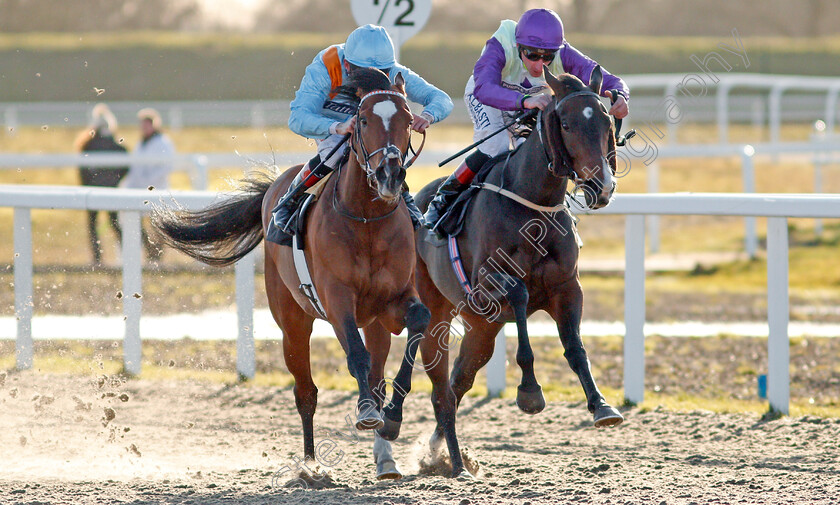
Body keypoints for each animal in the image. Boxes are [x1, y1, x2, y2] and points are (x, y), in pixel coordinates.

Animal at [149, 69, 434, 478]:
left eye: (408, 120)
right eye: (363, 120)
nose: (389, 175)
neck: (367, 220)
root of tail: (273, 187)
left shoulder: (392, 301)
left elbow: (419, 321)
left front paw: (392, 418)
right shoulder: (337, 301)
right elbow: (356, 354)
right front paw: (366, 412)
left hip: (373, 322)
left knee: (376, 374)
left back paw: (385, 459)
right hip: (292, 320)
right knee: (306, 391)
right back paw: (311, 466)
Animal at [378, 66, 624, 476]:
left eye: (607, 122)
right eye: (568, 124)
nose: (600, 186)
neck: (533, 203)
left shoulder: (567, 288)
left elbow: (575, 347)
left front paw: (602, 406)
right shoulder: (486, 283)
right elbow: (521, 295)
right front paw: (530, 391)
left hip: (481, 326)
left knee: (457, 381)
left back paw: (442, 452)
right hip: (435, 302)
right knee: (418, 347)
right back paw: (393, 416)